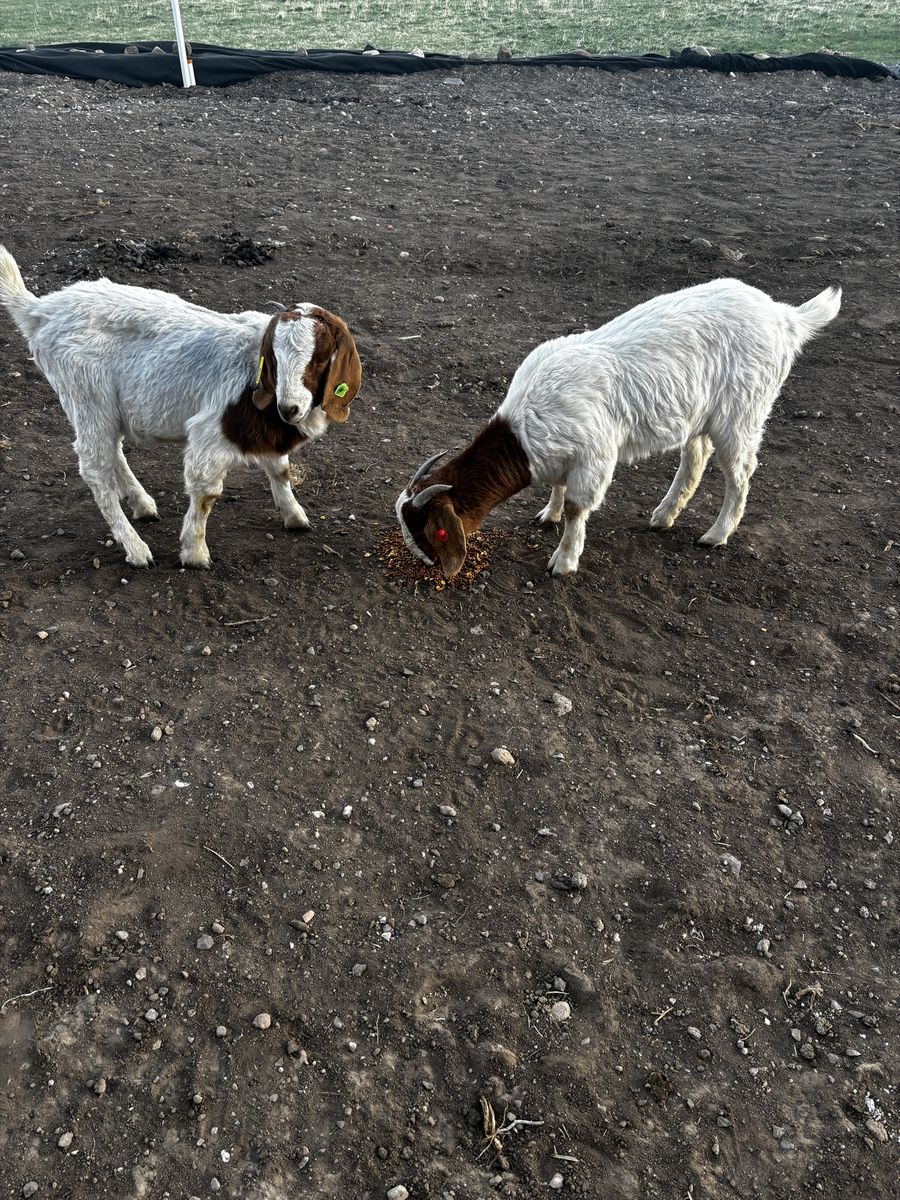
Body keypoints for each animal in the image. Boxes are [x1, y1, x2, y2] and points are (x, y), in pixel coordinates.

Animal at [0, 246, 362, 567]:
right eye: (273, 357)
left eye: (321, 357)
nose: (289, 408)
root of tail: (41, 311)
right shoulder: (209, 433)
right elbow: (205, 494)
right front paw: (195, 554)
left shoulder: (263, 432)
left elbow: (280, 469)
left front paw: (295, 516)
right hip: (87, 396)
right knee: (95, 470)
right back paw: (136, 549)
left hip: (107, 408)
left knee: (113, 450)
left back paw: (142, 504)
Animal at [397, 278, 841, 578]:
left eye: (436, 534)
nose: (428, 565)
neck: (524, 425)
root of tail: (786, 318)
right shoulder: (563, 452)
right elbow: (558, 489)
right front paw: (548, 514)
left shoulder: (594, 456)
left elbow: (578, 508)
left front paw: (564, 560)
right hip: (701, 414)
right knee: (695, 457)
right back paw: (664, 515)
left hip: (742, 412)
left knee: (741, 472)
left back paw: (717, 533)